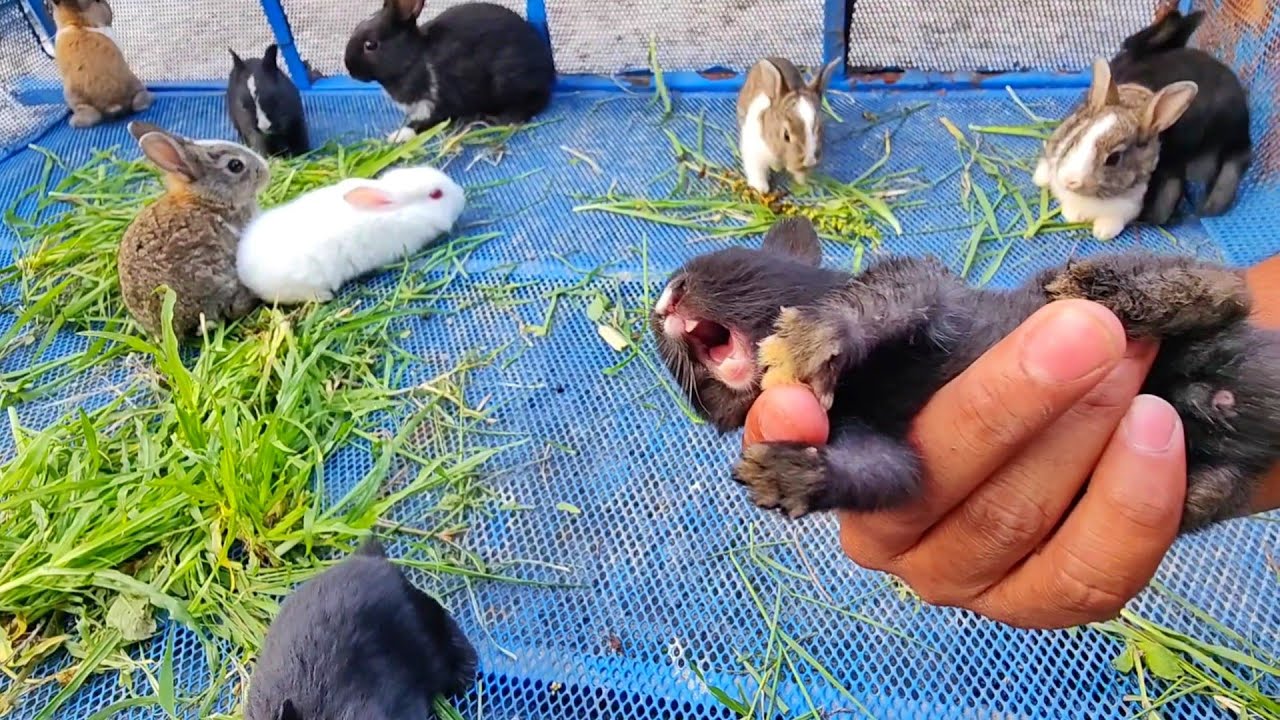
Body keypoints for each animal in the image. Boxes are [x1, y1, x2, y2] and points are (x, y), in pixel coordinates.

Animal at [344, 0, 556, 144]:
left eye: (371, 45)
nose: (350, 69)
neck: (414, 59)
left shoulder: (437, 105)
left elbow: (422, 123)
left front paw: (397, 136)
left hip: (510, 81)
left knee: (535, 100)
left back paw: (501, 119)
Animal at [736, 57, 840, 194]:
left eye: (820, 130)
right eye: (786, 135)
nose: (809, 161)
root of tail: (774, 57)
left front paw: (802, 183)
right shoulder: (754, 151)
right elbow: (757, 171)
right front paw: (761, 189)